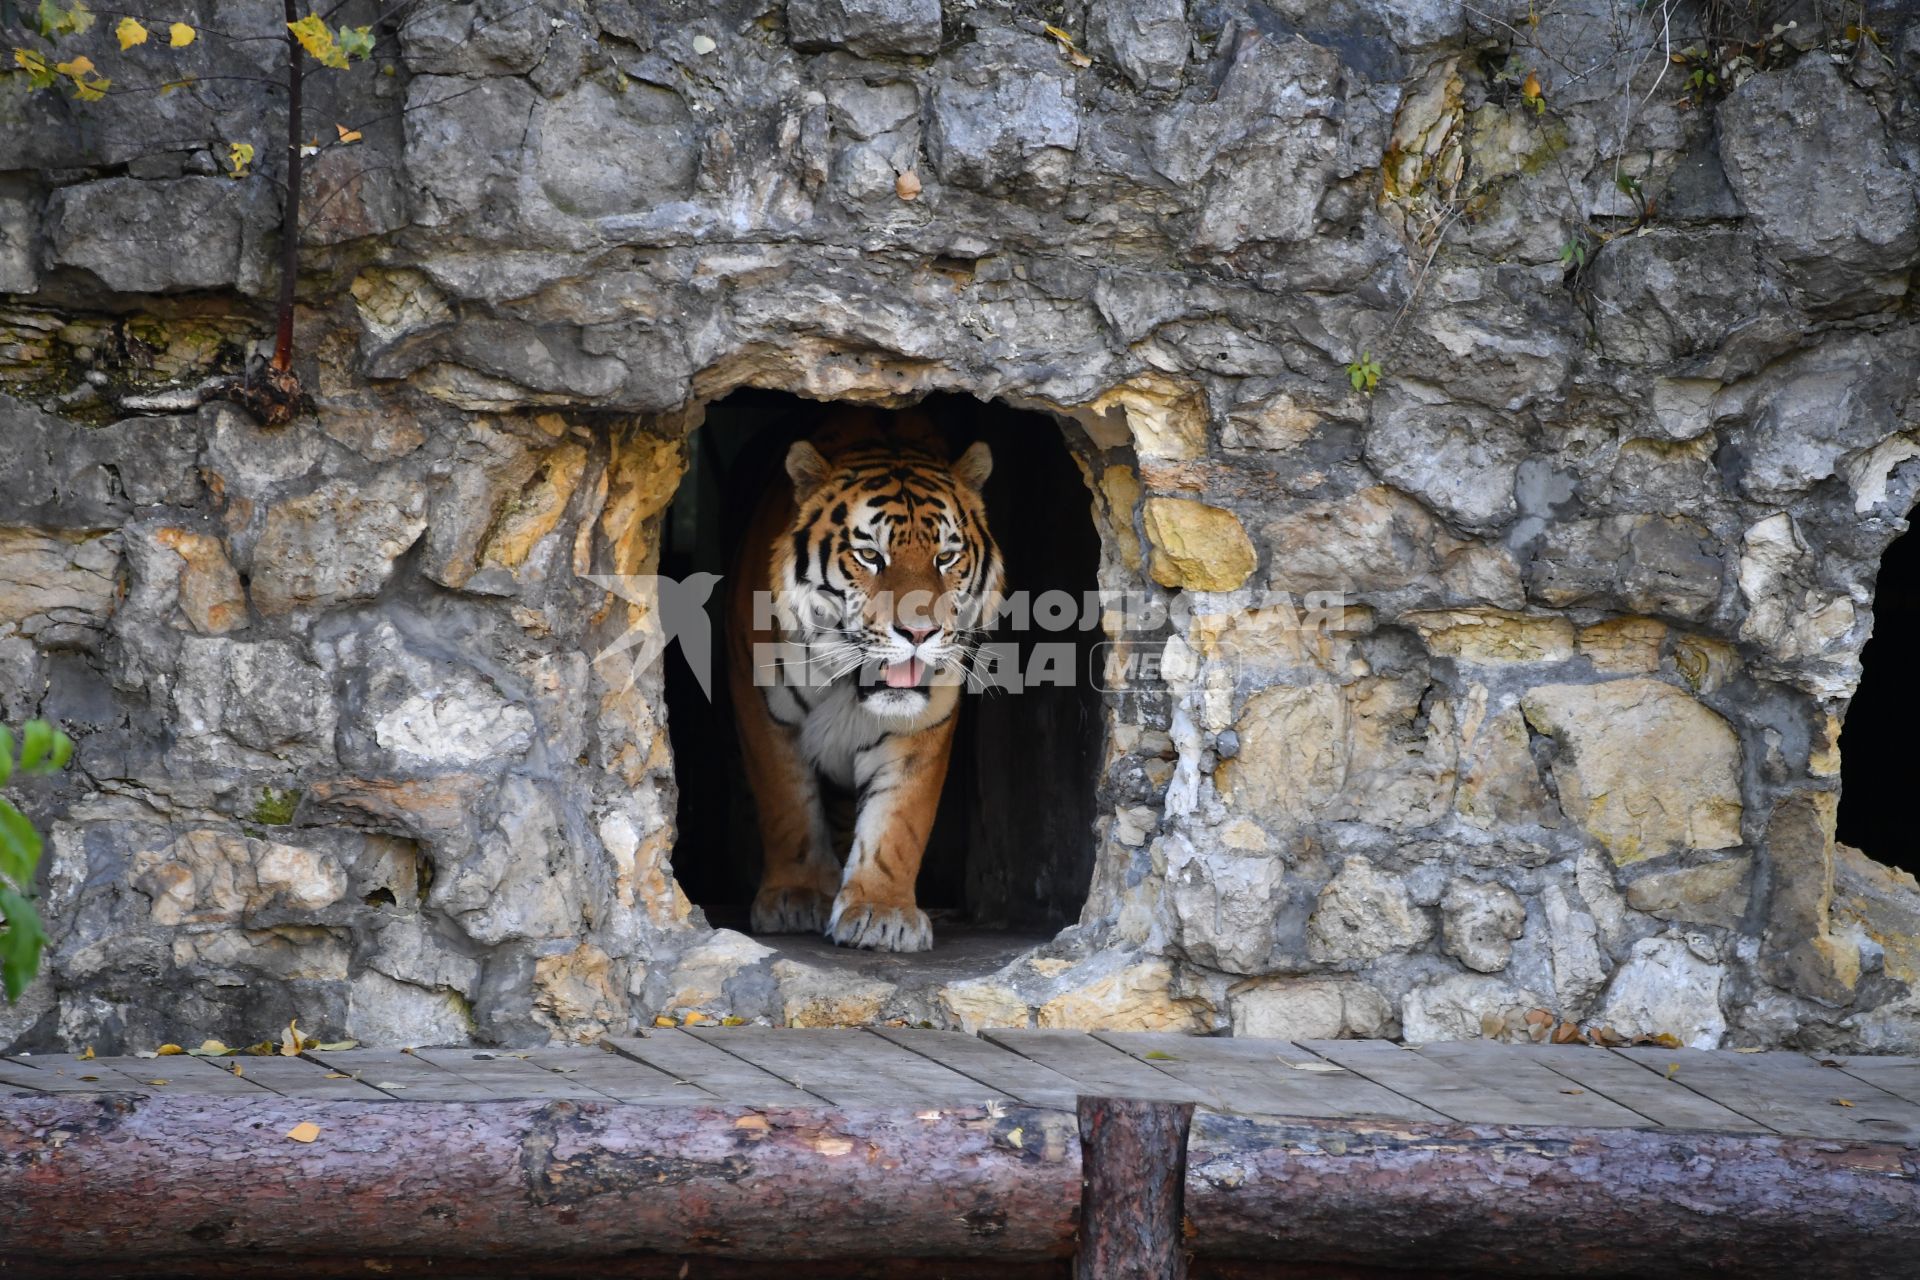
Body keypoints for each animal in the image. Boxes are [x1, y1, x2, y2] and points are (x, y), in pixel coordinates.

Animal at [721, 408, 1006, 951]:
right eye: (871, 556)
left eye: (945, 558)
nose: (919, 633)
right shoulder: (763, 710)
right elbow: (788, 805)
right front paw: (796, 897)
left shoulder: (924, 723)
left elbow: (898, 821)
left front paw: (882, 912)